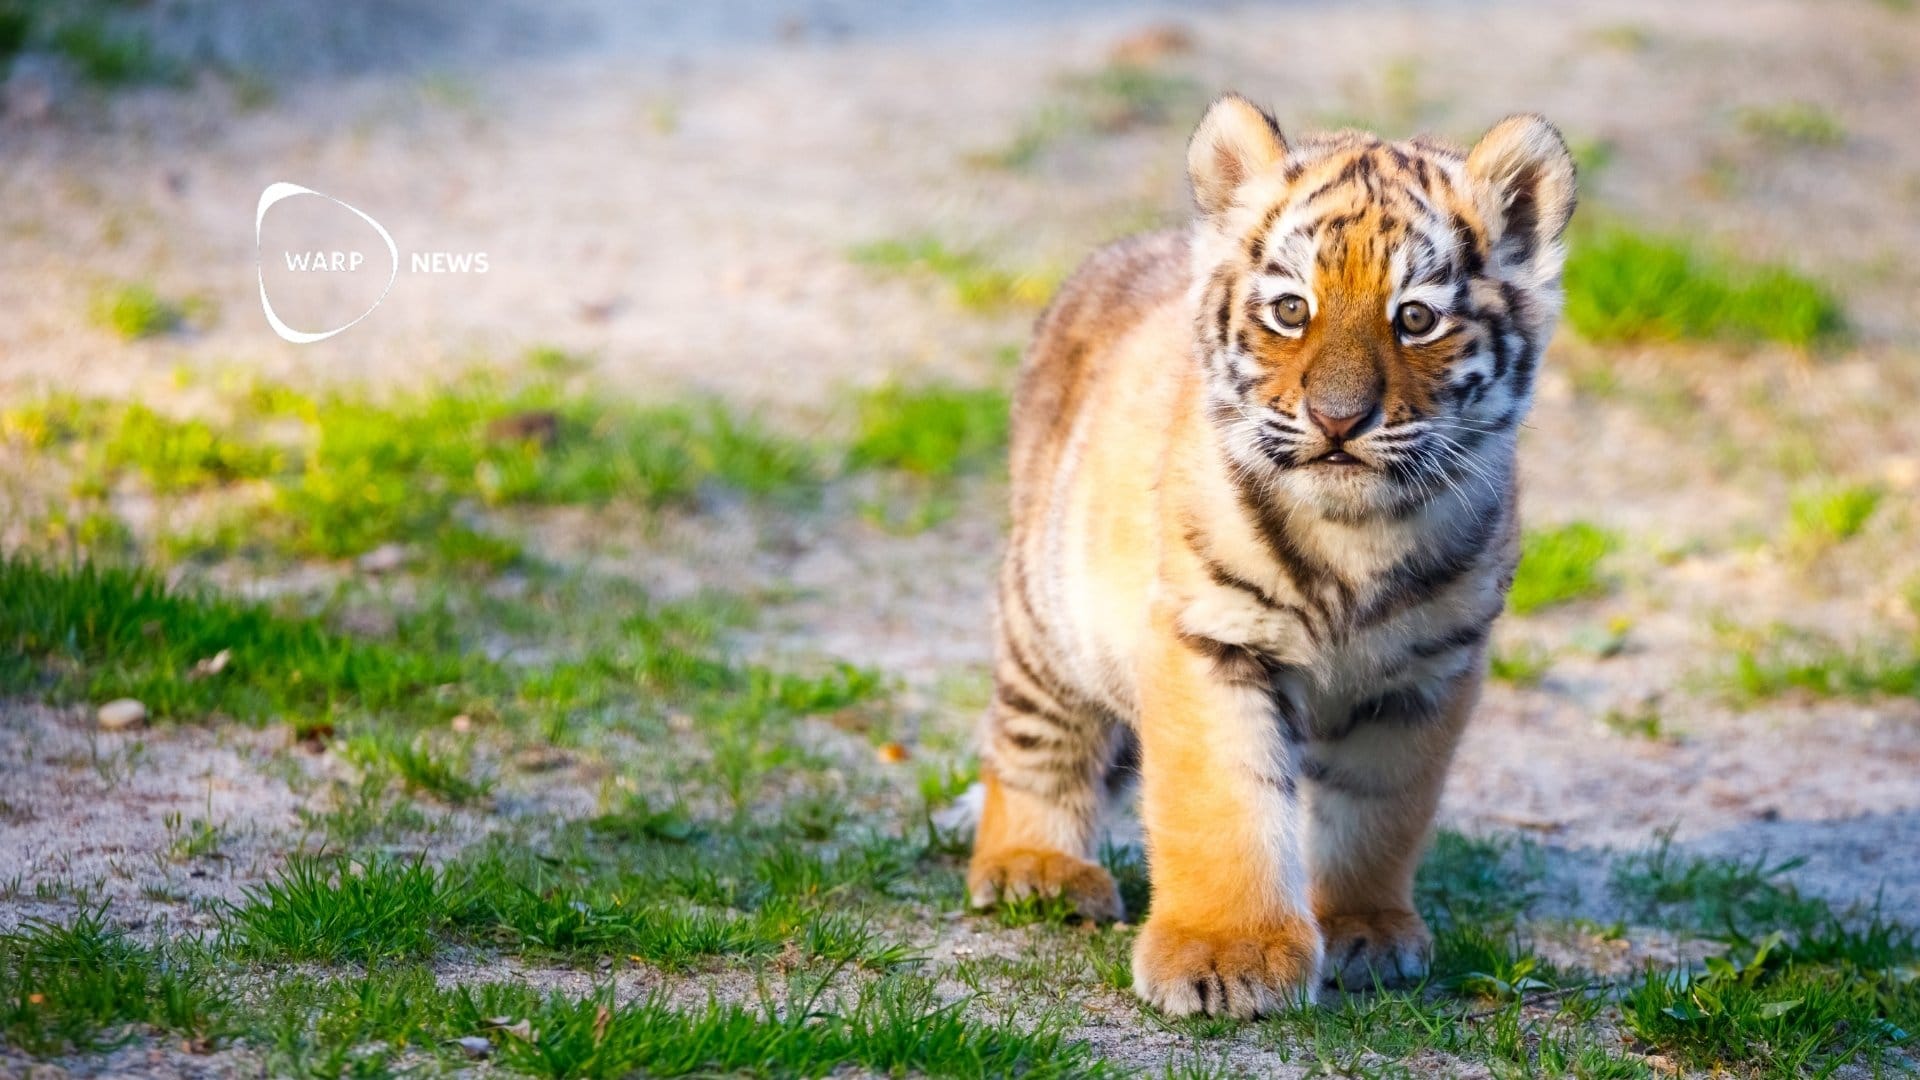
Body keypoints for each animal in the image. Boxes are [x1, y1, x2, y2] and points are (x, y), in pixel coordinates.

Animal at [965, 94, 1576, 1018]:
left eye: (1416, 318)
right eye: (1292, 310)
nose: (1338, 419)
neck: (1356, 535)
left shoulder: (1426, 675)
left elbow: (1379, 811)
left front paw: (1363, 929)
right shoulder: (1211, 641)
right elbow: (1226, 804)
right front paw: (1226, 955)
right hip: (1050, 618)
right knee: (1035, 743)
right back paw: (1035, 867)